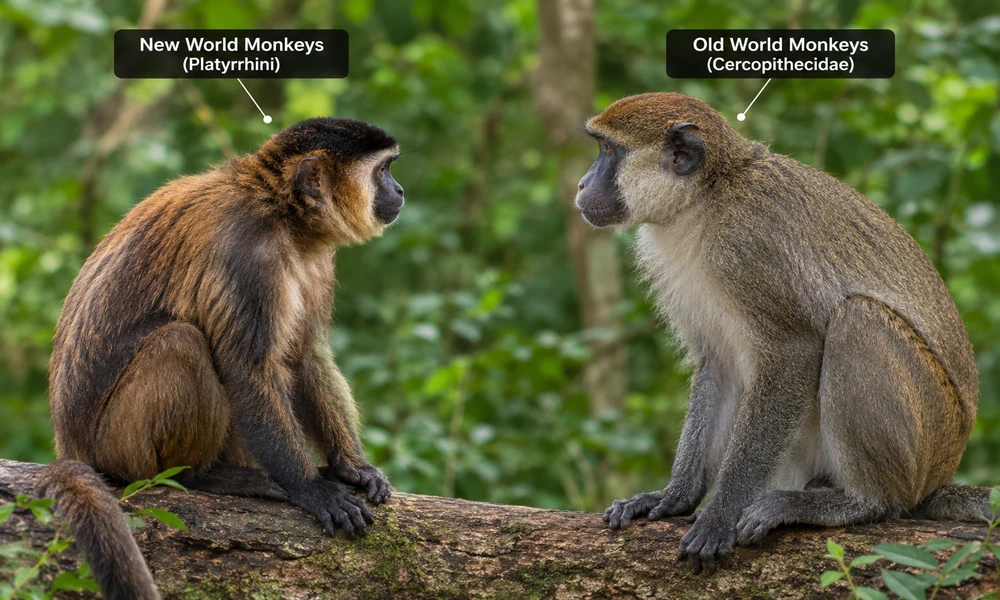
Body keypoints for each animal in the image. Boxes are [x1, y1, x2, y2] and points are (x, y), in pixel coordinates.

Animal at [44, 117, 403, 595]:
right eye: (383, 171)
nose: (399, 189)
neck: (280, 213)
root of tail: (71, 443)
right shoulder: (246, 254)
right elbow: (247, 369)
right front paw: (311, 488)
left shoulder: (316, 259)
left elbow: (305, 355)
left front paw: (351, 468)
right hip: (116, 447)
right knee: (182, 341)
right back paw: (198, 476)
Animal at [577, 92, 993, 574]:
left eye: (608, 151)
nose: (582, 186)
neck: (705, 200)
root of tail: (941, 472)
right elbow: (720, 366)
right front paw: (675, 496)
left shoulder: (748, 246)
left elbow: (795, 352)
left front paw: (721, 513)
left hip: (929, 432)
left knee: (857, 319)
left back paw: (862, 503)